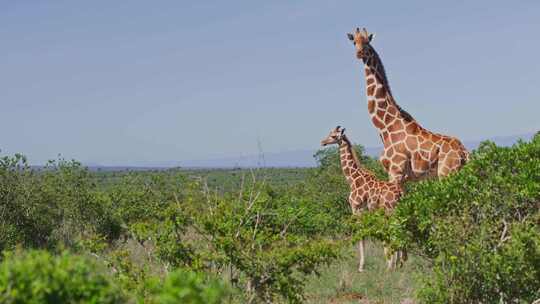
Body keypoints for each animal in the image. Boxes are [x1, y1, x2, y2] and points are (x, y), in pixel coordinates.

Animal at [318, 124, 402, 272]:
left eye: (333, 136)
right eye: (329, 133)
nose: (323, 142)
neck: (352, 178)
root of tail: (400, 193)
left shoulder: (356, 208)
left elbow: (361, 234)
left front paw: (361, 267)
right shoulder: (365, 210)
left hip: (389, 210)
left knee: (394, 231)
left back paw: (391, 266)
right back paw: (397, 264)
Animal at [346, 26, 468, 183]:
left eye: (367, 42)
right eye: (354, 42)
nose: (359, 53)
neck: (385, 127)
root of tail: (465, 153)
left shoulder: (396, 171)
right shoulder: (402, 176)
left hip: (447, 172)